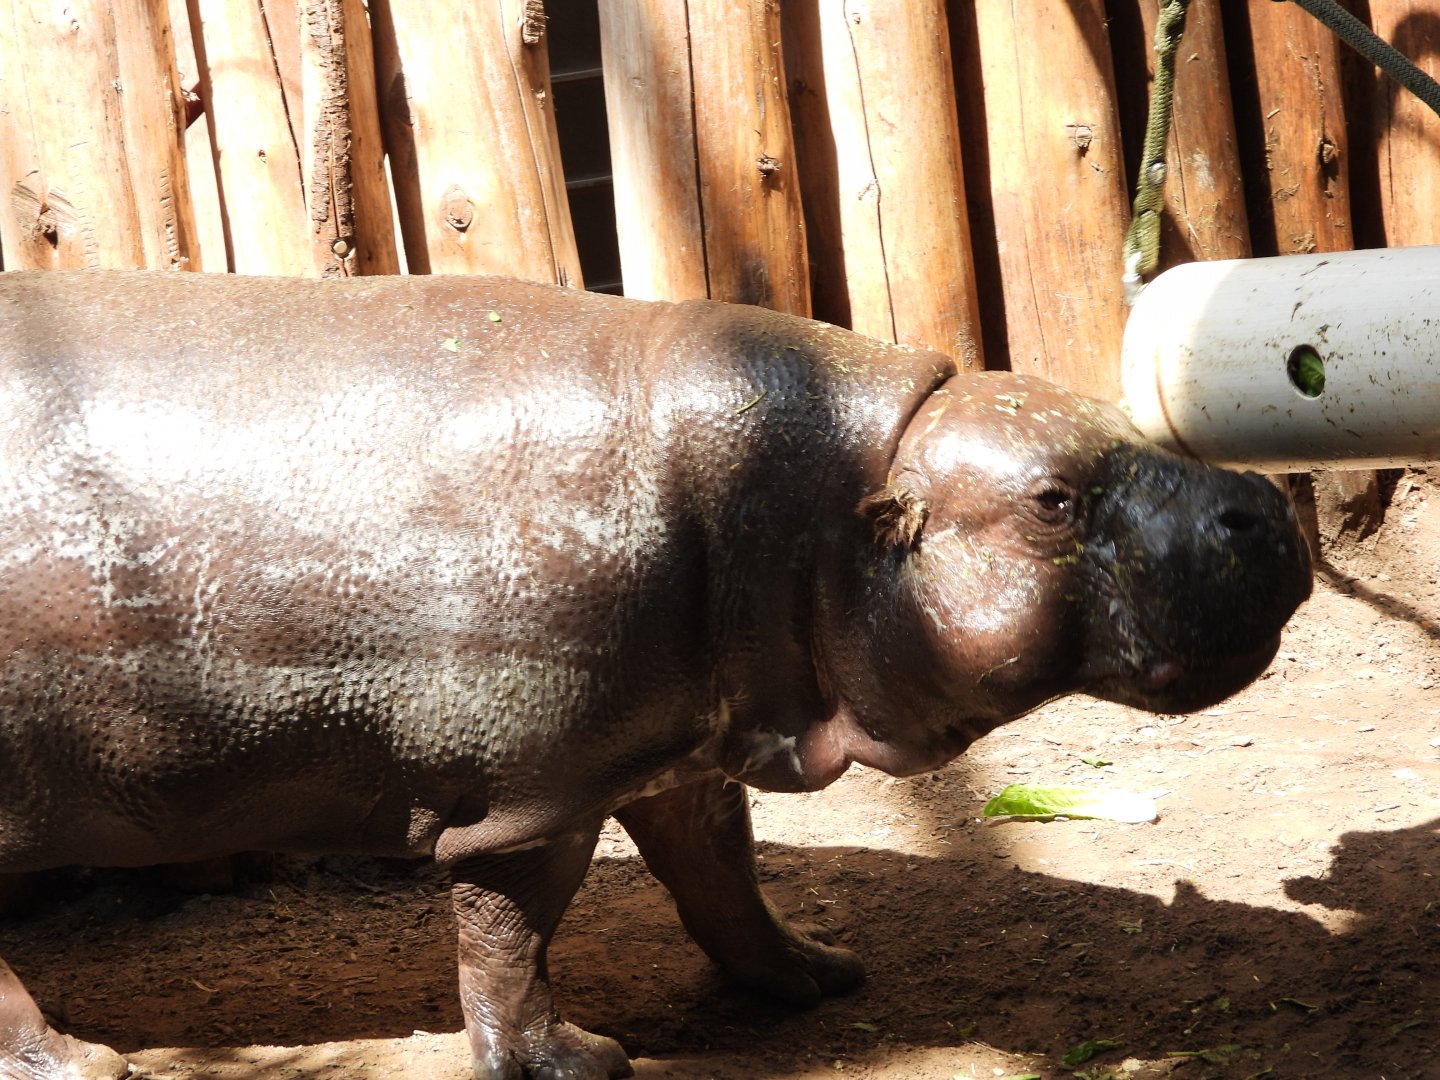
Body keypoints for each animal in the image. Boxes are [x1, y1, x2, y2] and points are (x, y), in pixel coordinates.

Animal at [0, 270, 1310, 1079]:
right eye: (1051, 500)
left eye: (1111, 413)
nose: (1262, 501)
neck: (825, 499)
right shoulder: (531, 798)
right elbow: (512, 940)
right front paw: (576, 1064)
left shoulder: (686, 746)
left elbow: (722, 875)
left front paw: (817, 980)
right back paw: (86, 1065)